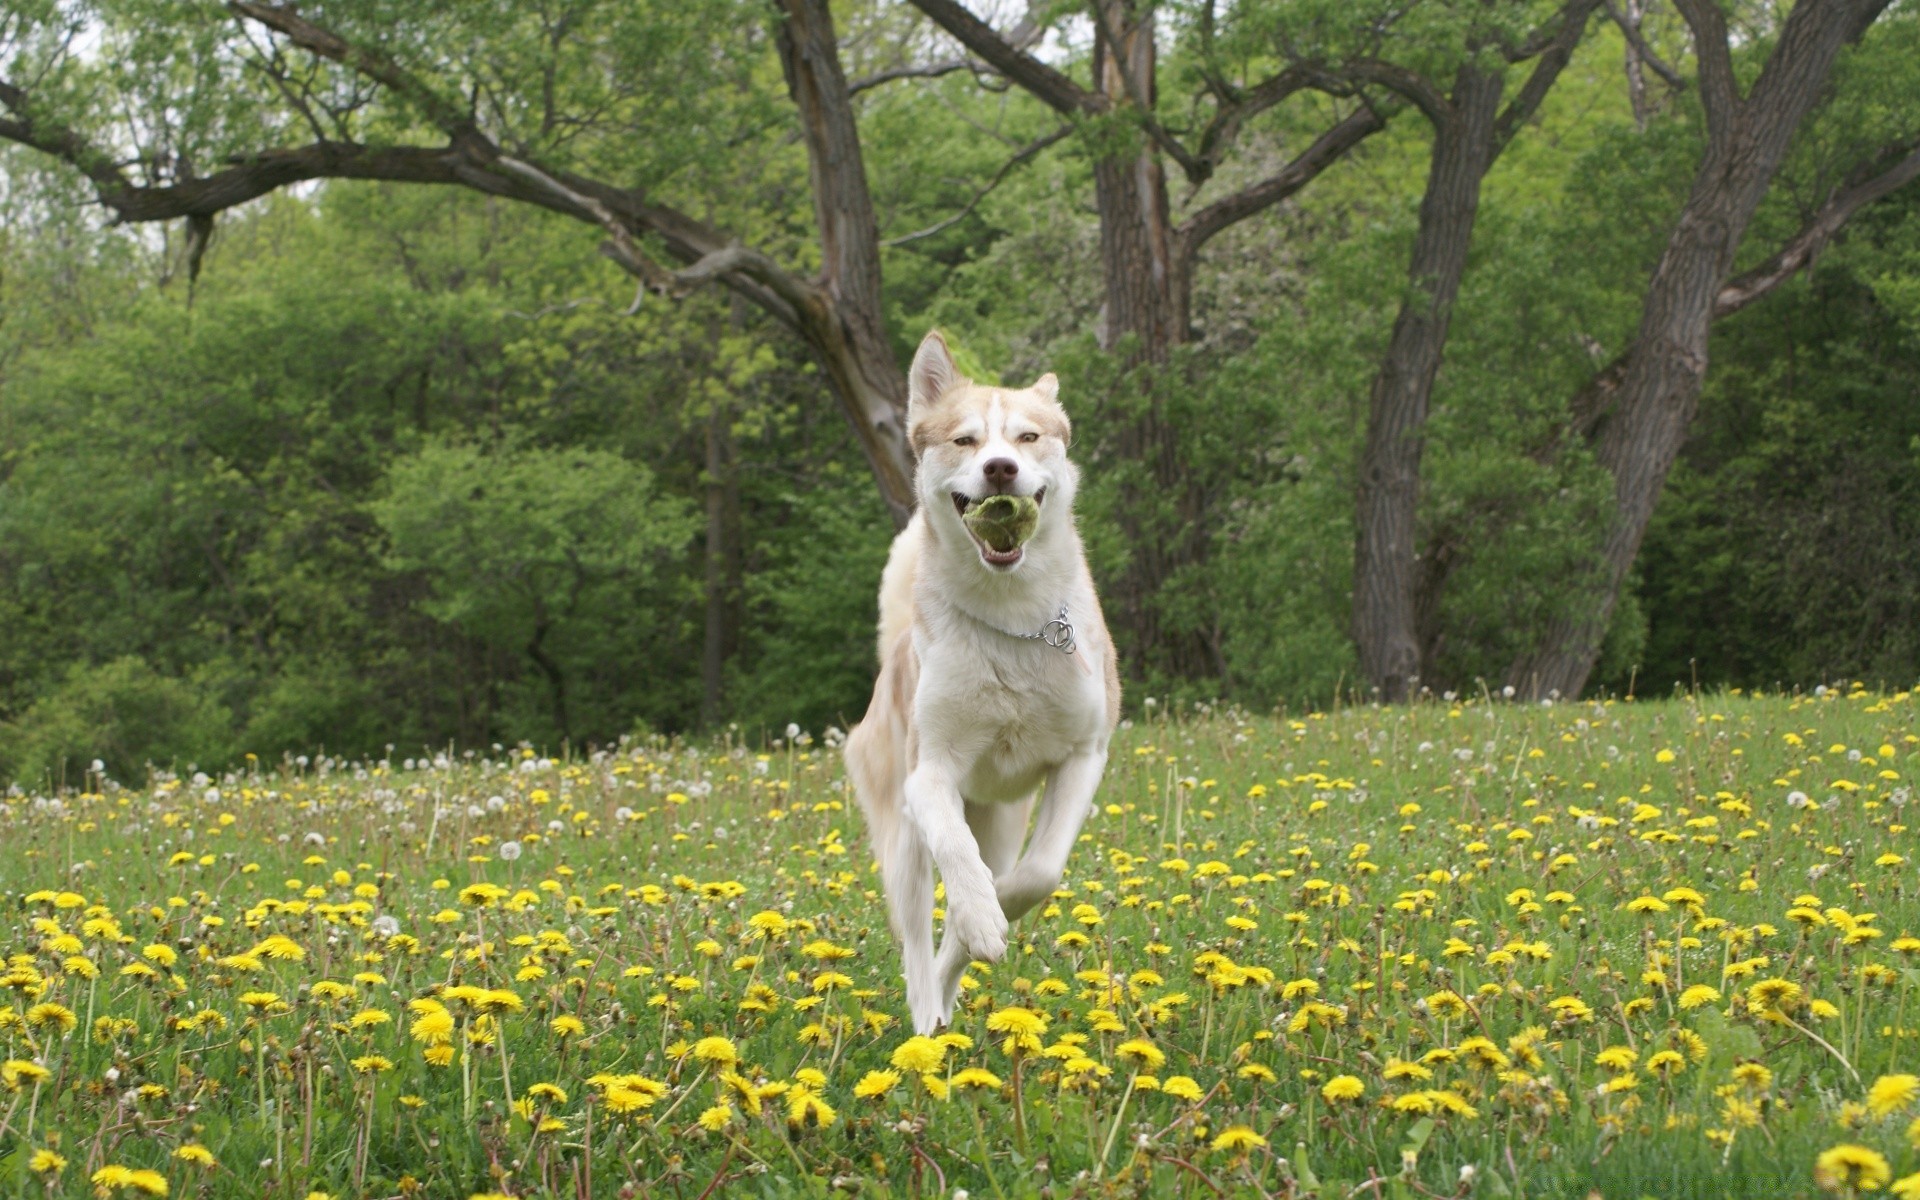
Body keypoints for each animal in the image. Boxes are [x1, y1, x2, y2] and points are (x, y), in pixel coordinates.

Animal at [844, 328, 1121, 1029]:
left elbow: (1037, 874)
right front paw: (980, 921)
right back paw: (924, 1026)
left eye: (1027, 437)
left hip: (1000, 818)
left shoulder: (1083, 756)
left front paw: (985, 925)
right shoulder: (929, 775)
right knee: (916, 944)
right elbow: (958, 857)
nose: (1000, 468)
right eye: (966, 440)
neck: (1012, 620)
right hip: (902, 842)